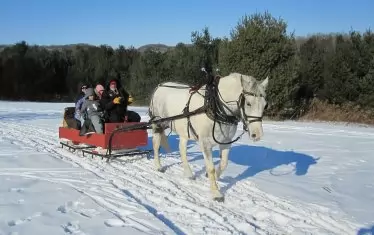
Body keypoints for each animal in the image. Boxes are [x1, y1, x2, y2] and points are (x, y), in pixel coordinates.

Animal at [148, 72, 268, 202]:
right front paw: (216, 193)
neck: (216, 106)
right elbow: (211, 168)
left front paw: (214, 177)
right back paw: (158, 166)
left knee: (182, 150)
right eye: (248, 103)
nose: (257, 135)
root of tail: (160, 86)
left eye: (265, 105)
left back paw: (188, 173)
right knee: (156, 145)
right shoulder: (205, 143)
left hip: (184, 131)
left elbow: (224, 163)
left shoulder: (226, 141)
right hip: (158, 124)